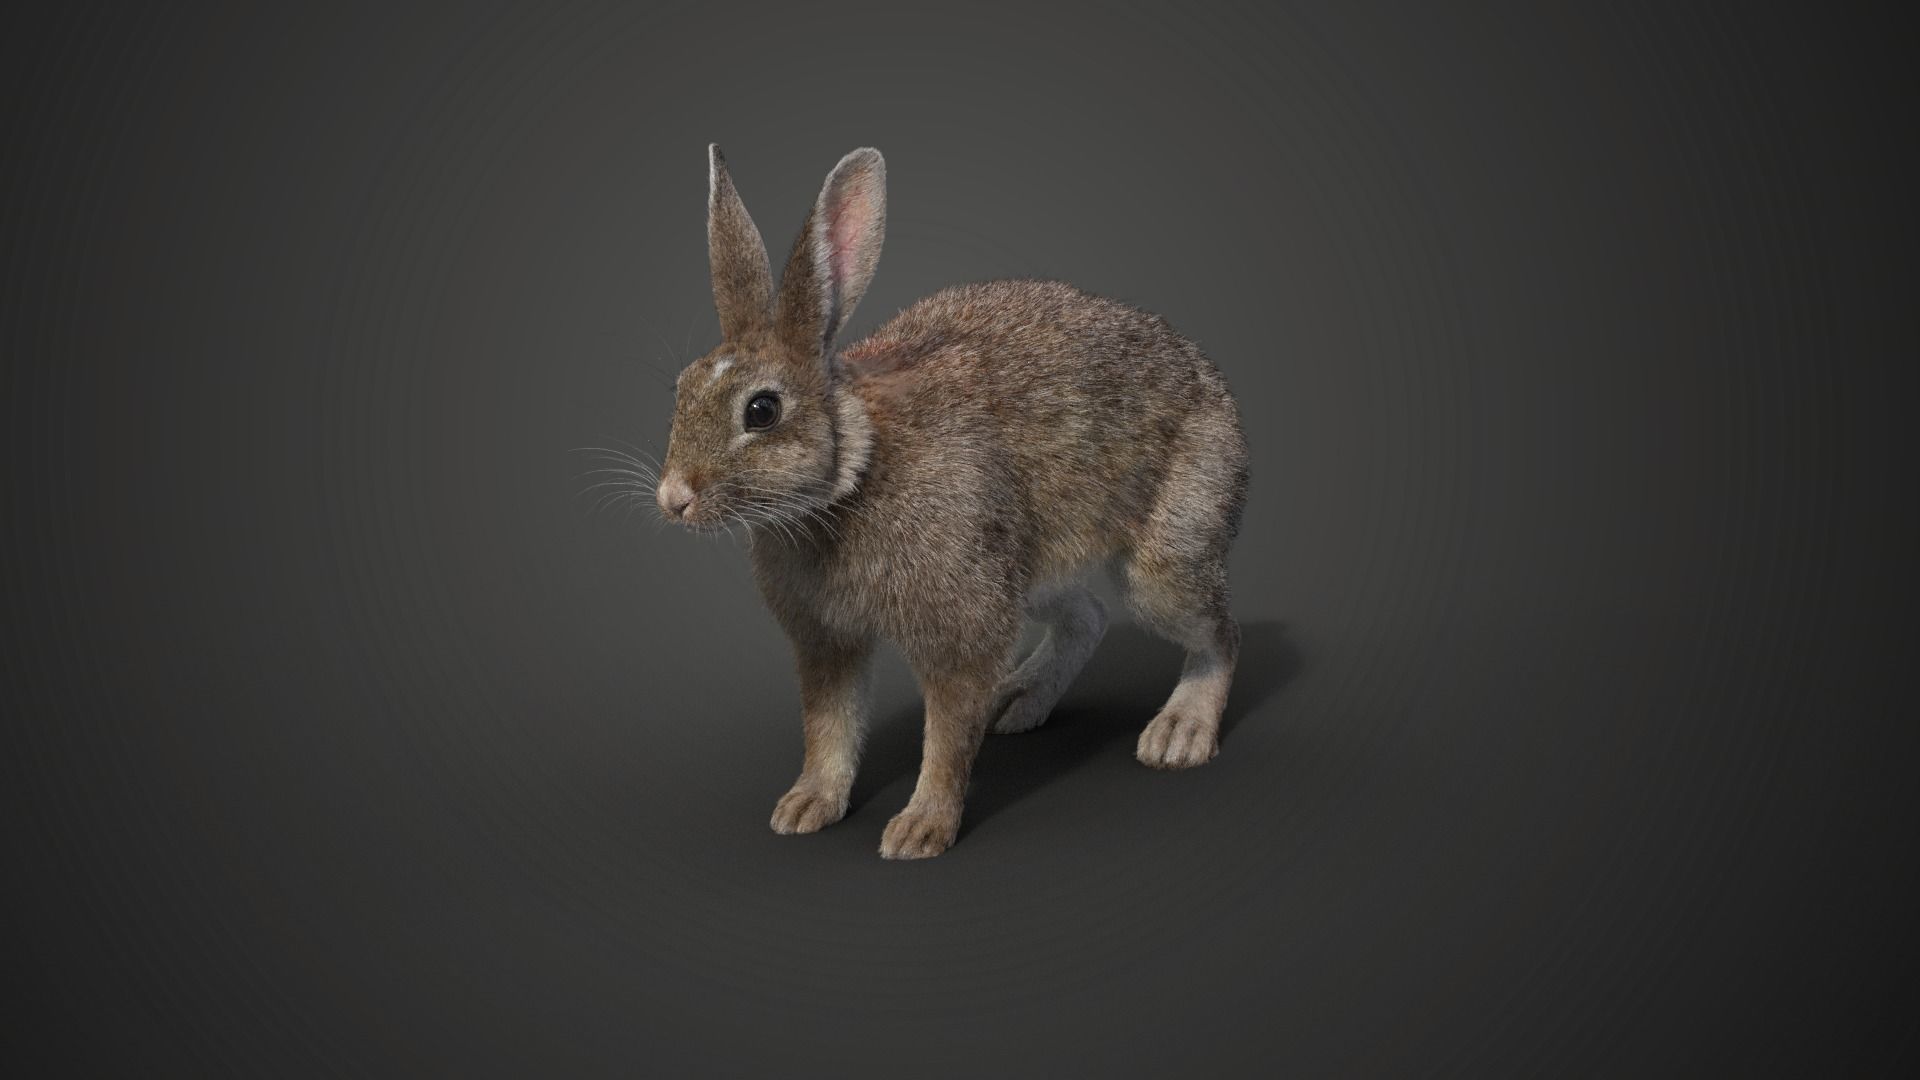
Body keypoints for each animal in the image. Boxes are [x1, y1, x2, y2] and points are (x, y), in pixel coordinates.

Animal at [652, 145, 1248, 859]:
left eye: (762, 410)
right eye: (682, 389)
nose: (672, 498)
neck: (851, 478)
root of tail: (1216, 389)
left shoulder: (959, 624)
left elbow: (945, 737)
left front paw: (919, 832)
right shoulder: (827, 640)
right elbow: (829, 728)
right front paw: (805, 808)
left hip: (1164, 558)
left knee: (1217, 633)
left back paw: (1178, 735)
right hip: (1031, 572)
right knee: (1088, 616)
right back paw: (1017, 701)